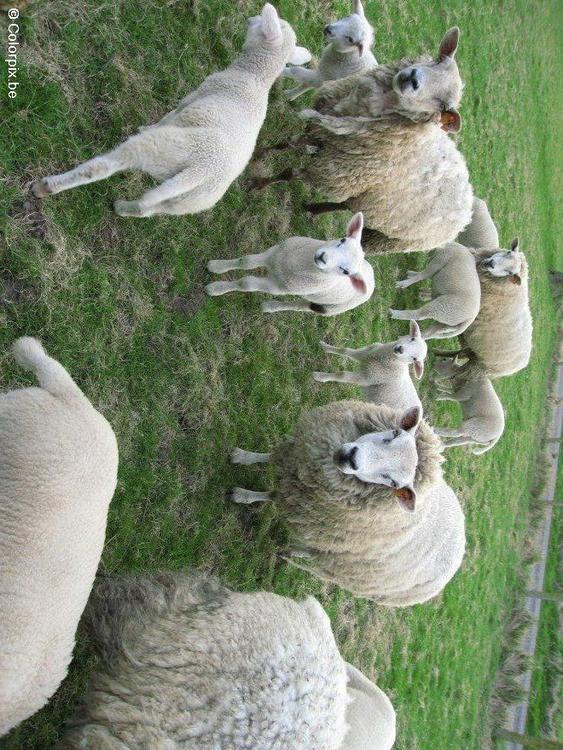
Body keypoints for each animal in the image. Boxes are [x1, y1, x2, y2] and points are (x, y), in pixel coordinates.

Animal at [32, 4, 311, 217]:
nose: (249, 19)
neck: (254, 75)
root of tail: (201, 175)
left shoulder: (195, 96)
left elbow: (170, 115)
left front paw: (146, 125)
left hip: (161, 148)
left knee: (105, 166)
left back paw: (46, 186)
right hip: (185, 203)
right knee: (147, 209)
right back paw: (122, 208)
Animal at [206, 211, 375, 316]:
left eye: (346, 272)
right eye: (342, 240)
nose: (322, 257)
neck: (291, 264)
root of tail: (372, 276)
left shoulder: (277, 287)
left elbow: (246, 283)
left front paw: (215, 289)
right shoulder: (273, 253)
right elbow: (245, 261)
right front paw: (216, 266)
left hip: (328, 308)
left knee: (301, 307)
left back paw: (270, 307)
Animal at [230, 401, 465, 606]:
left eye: (392, 482)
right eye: (395, 433)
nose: (351, 458)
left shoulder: (311, 511)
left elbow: (270, 495)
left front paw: (240, 495)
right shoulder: (297, 466)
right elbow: (269, 461)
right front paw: (242, 457)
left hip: (343, 563)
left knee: (316, 553)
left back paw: (291, 552)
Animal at [255, 28, 473, 256]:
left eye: (443, 105)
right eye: (438, 60)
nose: (413, 78)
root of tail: (468, 210)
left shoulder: (334, 174)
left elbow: (289, 173)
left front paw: (258, 185)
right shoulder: (322, 135)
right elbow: (287, 143)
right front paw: (259, 155)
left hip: (388, 239)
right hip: (367, 200)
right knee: (349, 205)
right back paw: (312, 208)